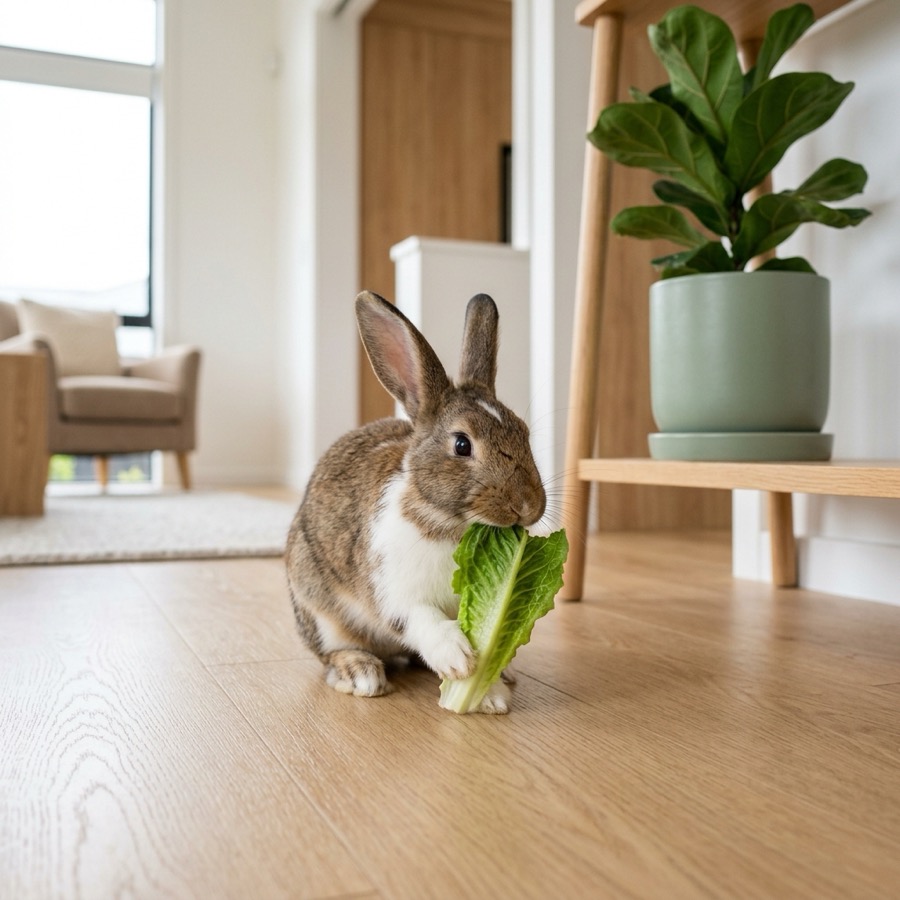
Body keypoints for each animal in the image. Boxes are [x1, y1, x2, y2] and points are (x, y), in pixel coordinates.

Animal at [285, 290, 546, 713]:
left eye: (523, 432)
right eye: (462, 445)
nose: (527, 506)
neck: (451, 524)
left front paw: (490, 695)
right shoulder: (395, 591)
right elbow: (421, 619)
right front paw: (459, 661)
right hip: (319, 610)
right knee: (331, 652)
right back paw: (361, 673)